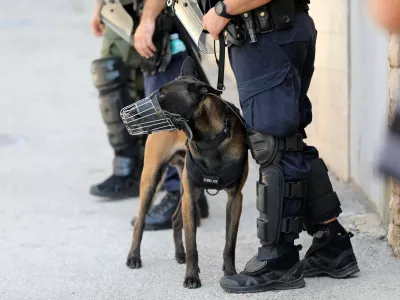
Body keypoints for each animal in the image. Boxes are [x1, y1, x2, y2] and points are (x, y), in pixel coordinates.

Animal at [123, 56, 248, 288]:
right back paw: (134, 257)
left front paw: (230, 273)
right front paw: (192, 276)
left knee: (174, 219)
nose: (132, 113)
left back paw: (179, 255)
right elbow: (192, 244)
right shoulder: (190, 195)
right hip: (152, 178)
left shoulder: (235, 198)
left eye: (161, 95)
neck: (209, 139)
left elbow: (230, 242)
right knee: (141, 220)